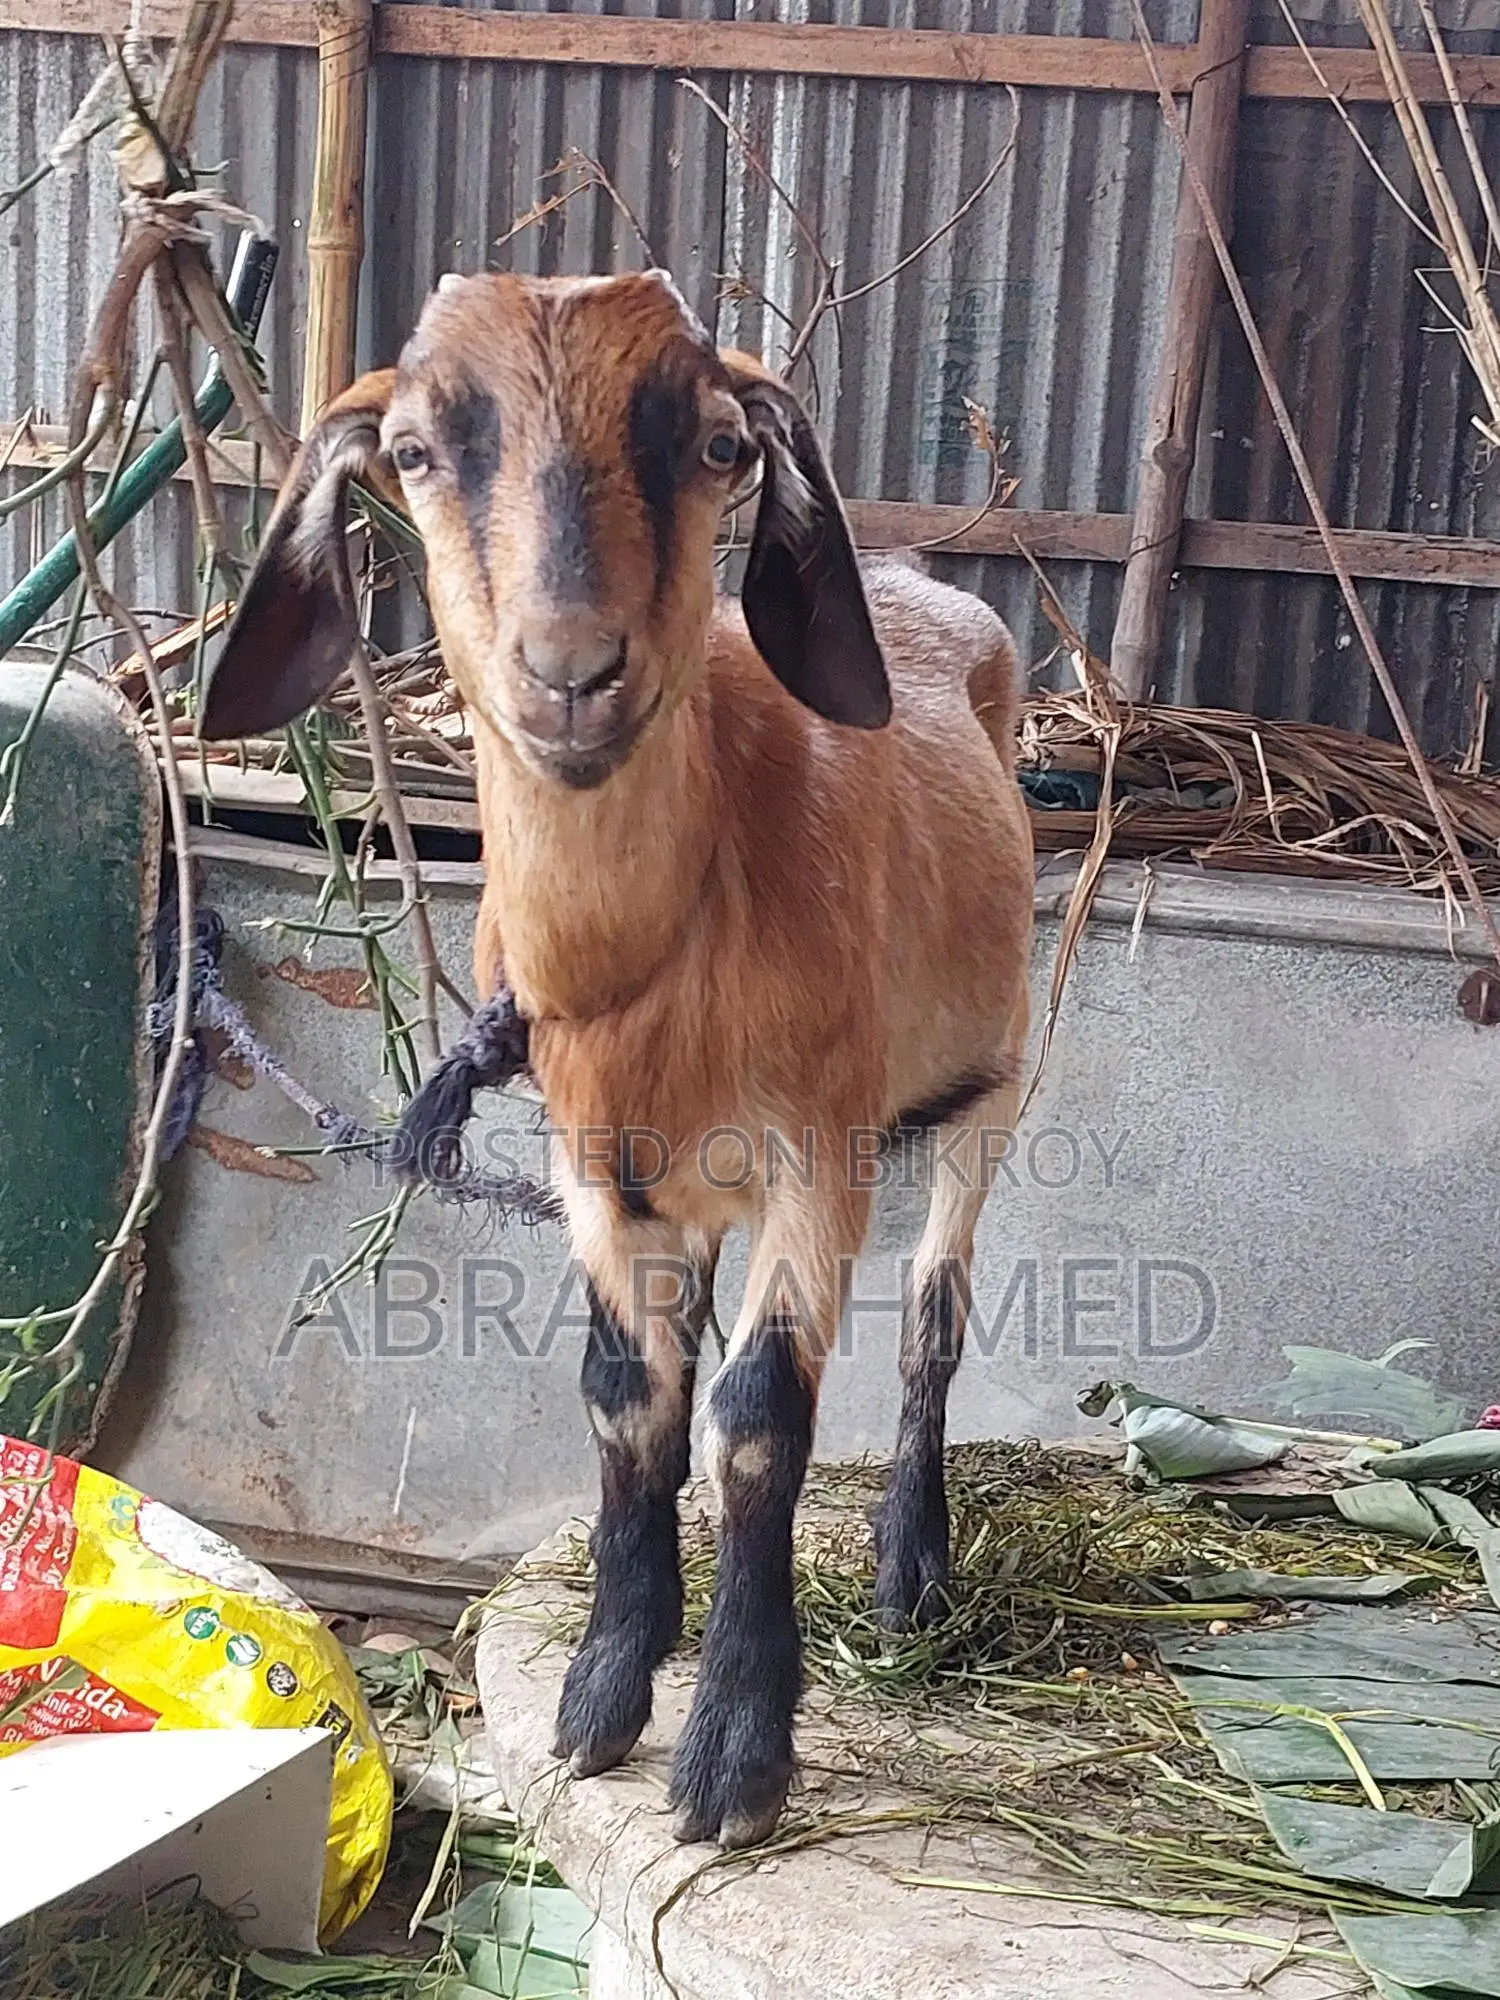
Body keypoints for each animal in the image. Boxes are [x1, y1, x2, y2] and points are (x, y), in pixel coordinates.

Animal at [202, 270, 1034, 1851]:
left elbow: (758, 1422)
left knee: (938, 1316)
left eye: (717, 445)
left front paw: (732, 1758)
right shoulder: (594, 1167)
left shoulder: (816, 1157)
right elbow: (621, 1396)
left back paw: (913, 1574)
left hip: (994, 1085)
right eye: (412, 452)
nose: (571, 673)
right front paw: (602, 1694)